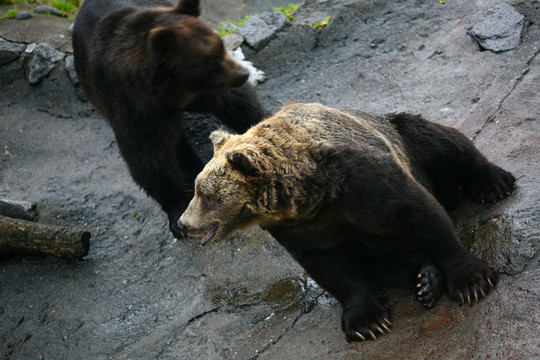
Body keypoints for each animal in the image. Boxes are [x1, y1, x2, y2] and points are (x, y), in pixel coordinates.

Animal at [72, 0, 268, 239]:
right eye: (211, 58)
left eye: (220, 46)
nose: (243, 74)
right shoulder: (132, 110)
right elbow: (150, 162)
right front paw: (178, 215)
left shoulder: (206, 92)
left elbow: (238, 104)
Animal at [178, 103, 516, 344]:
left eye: (203, 193)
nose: (182, 223)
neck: (312, 196)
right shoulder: (301, 228)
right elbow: (331, 266)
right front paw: (368, 322)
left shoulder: (363, 179)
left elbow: (419, 215)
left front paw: (471, 281)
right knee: (381, 262)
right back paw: (425, 280)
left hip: (403, 133)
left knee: (442, 143)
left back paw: (493, 183)